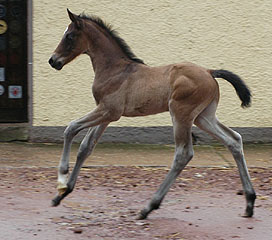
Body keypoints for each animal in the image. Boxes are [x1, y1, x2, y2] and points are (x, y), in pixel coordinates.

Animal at [49, 9, 258, 219]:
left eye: (69, 36)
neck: (116, 69)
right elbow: (86, 147)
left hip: (181, 114)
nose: (53, 61)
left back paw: (149, 206)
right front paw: (62, 193)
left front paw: (62, 179)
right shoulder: (106, 115)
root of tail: (209, 71)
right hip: (203, 117)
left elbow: (71, 128)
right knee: (234, 140)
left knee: (183, 154)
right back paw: (249, 202)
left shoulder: (108, 110)